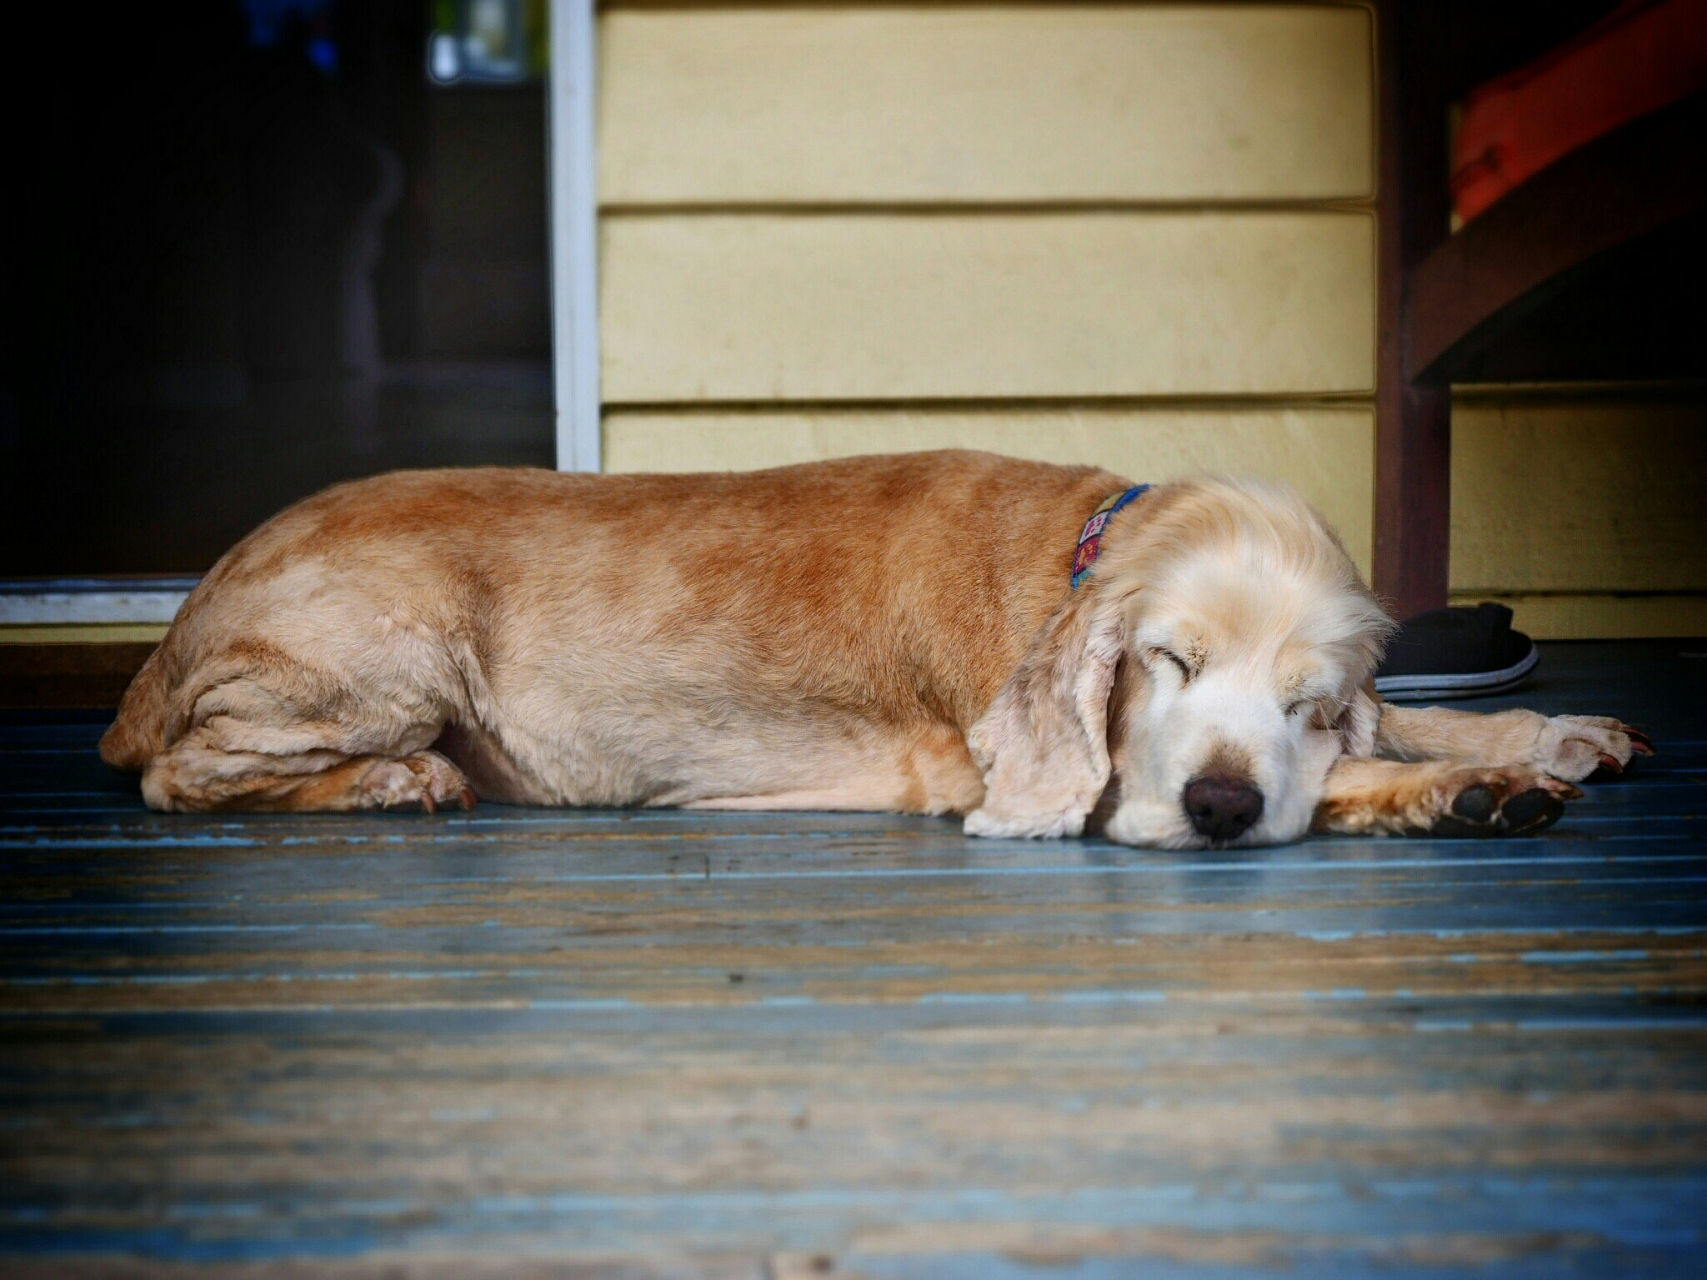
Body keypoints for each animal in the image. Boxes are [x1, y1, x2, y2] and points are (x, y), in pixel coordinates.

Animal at [99, 453, 1645, 853]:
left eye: (1308, 699)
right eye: (1165, 662)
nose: (1213, 808)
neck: (1078, 548)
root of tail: (171, 630)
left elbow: (1401, 724)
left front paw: (1539, 737)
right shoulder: (1064, 775)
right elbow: (1335, 789)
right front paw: (1469, 792)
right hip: (394, 651)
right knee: (180, 776)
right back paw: (391, 782)